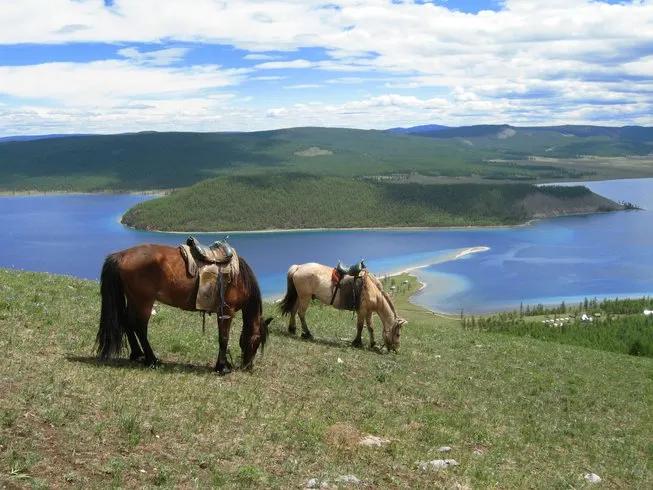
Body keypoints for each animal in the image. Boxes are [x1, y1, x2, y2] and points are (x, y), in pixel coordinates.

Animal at [96, 243, 271, 374]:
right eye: (257, 342)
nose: (248, 366)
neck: (239, 278)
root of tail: (122, 255)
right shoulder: (227, 311)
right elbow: (224, 338)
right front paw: (222, 367)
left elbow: (223, 337)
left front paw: (224, 364)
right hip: (144, 301)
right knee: (140, 327)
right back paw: (151, 359)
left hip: (134, 299)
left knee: (128, 322)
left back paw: (137, 355)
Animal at [279, 262, 407, 351]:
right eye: (398, 334)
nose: (395, 349)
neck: (373, 291)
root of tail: (298, 267)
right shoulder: (362, 310)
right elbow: (360, 326)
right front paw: (357, 342)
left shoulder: (369, 312)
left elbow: (370, 327)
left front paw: (372, 344)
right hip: (305, 297)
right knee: (301, 314)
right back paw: (307, 334)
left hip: (299, 296)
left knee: (294, 310)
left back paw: (292, 329)